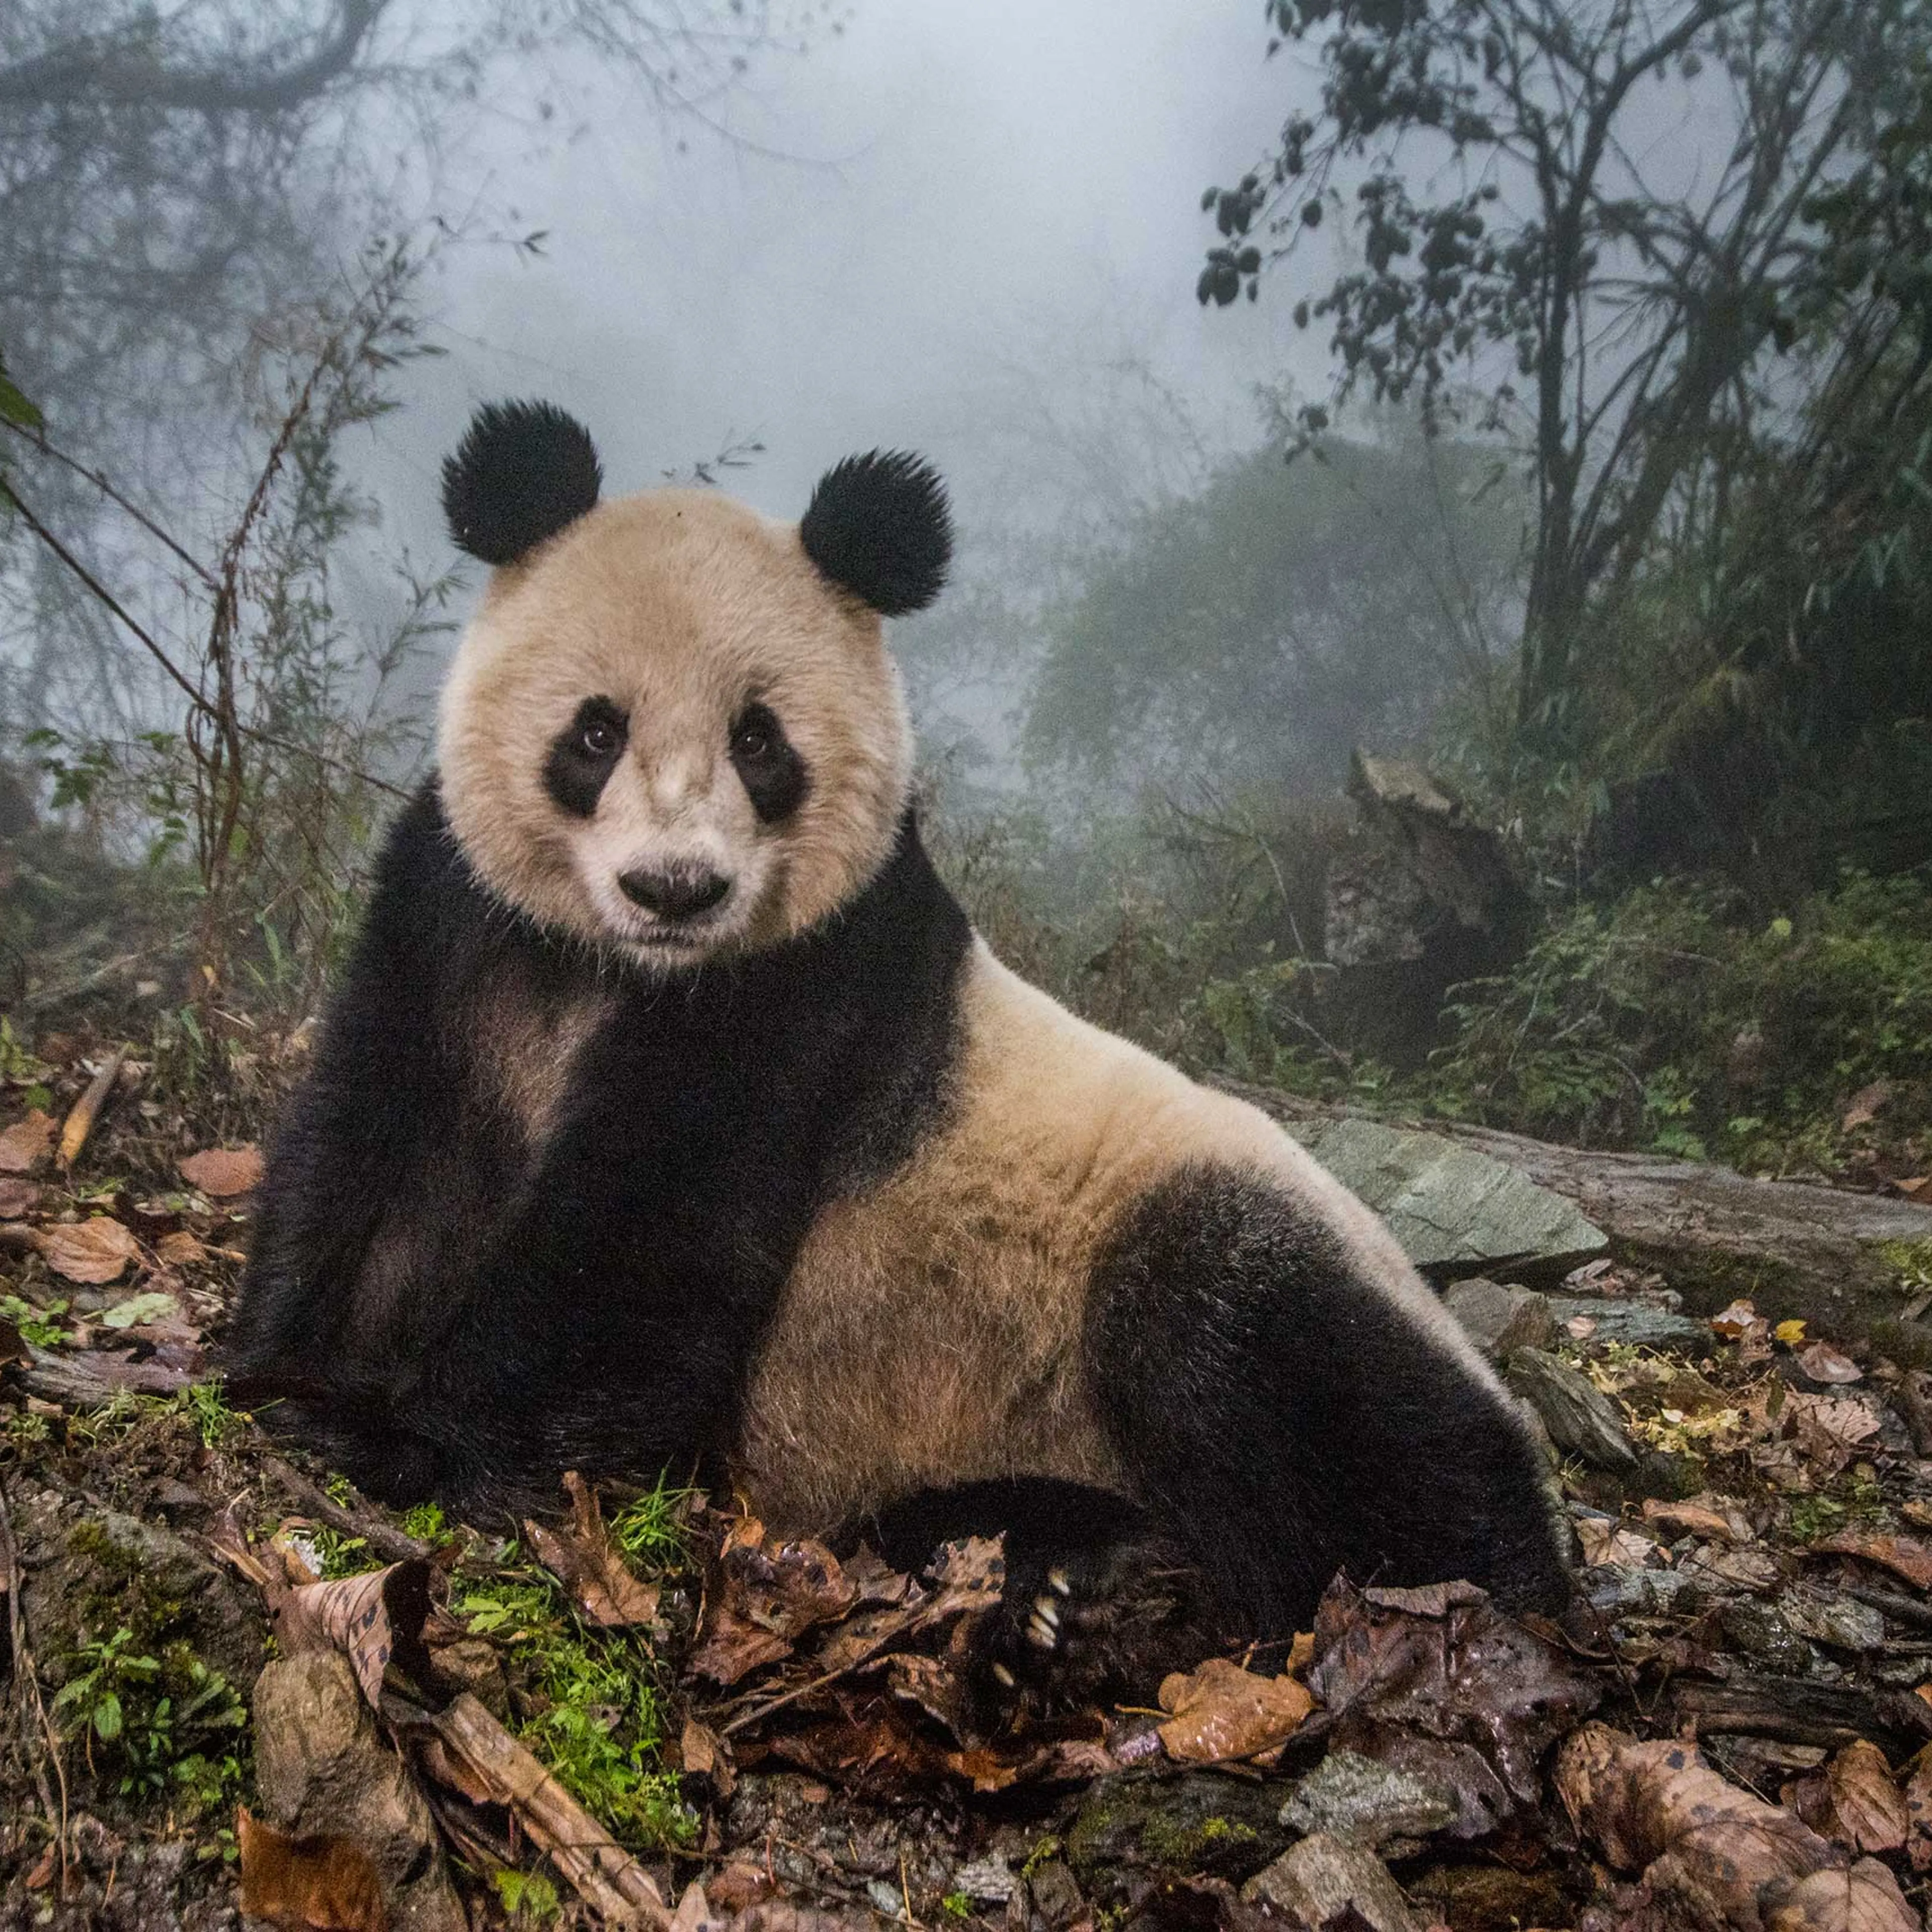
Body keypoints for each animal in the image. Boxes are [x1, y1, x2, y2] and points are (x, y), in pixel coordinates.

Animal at [228, 398, 1567, 1704]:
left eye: (760, 742)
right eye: (595, 732)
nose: (676, 888)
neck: (619, 967)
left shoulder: (810, 981)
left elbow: (644, 1241)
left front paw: (405, 1440)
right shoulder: (455, 918)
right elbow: (378, 1147)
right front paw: (282, 1371)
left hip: (1222, 1242)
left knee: (1284, 1372)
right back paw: (1063, 1576)